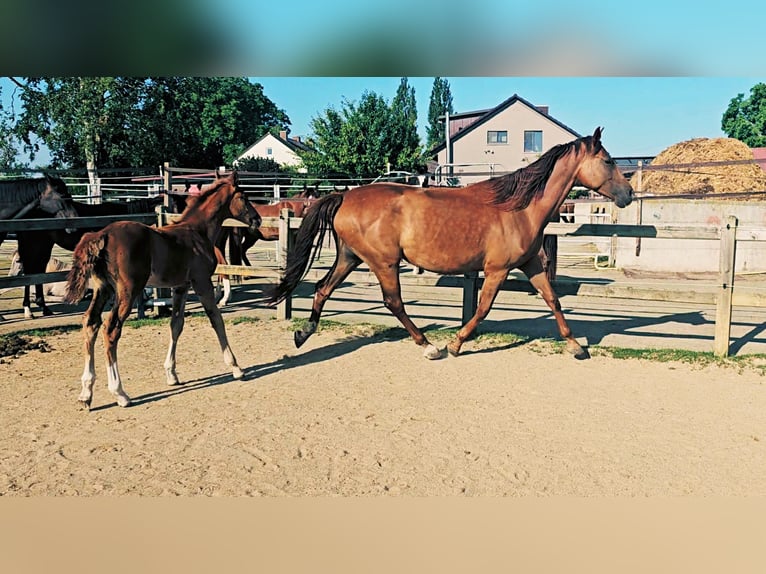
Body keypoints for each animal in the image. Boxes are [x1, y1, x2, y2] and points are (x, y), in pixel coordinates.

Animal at [15, 197, 163, 318]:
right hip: (36, 246)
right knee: (30, 272)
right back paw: (29, 309)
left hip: (42, 246)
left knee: (36, 271)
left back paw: (42, 308)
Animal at [64, 170, 261, 409]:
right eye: (244, 197)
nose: (257, 219)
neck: (198, 232)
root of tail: (101, 235)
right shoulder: (201, 282)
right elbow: (216, 320)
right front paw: (235, 367)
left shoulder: (181, 287)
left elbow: (176, 325)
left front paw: (171, 374)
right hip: (127, 290)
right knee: (111, 329)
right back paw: (120, 393)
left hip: (104, 289)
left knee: (91, 323)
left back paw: (86, 393)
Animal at [268, 127, 634, 360]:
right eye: (608, 160)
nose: (628, 194)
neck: (519, 208)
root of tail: (344, 197)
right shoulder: (497, 269)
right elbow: (483, 308)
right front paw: (456, 344)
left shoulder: (529, 264)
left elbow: (553, 299)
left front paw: (576, 346)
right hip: (383, 262)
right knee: (393, 302)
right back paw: (429, 346)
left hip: (350, 256)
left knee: (323, 288)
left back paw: (302, 334)